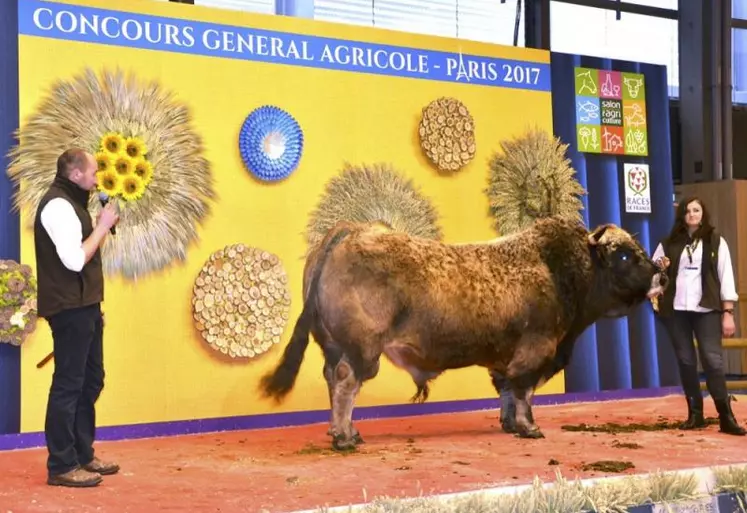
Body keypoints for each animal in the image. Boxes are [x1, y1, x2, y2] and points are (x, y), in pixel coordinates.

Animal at [260, 216, 668, 448]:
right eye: (625, 255)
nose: (661, 273)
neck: (557, 269)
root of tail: (352, 231)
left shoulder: (506, 359)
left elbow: (507, 390)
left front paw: (509, 425)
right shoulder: (536, 349)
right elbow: (524, 390)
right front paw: (529, 428)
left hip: (334, 346)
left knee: (333, 380)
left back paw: (344, 432)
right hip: (362, 349)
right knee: (346, 383)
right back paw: (345, 437)